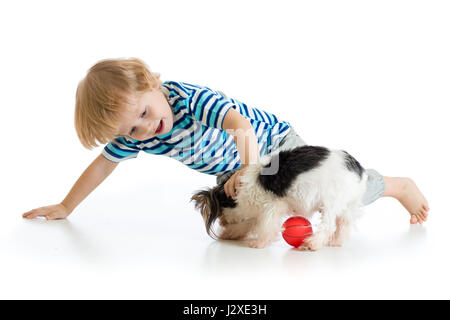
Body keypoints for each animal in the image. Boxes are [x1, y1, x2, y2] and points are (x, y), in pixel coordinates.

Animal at [192, 146, 368, 251]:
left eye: (220, 212)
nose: (222, 222)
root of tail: (358, 169)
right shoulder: (259, 211)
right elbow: (249, 224)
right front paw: (230, 233)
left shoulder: (271, 207)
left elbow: (266, 226)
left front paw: (259, 243)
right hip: (346, 205)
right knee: (344, 224)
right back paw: (336, 241)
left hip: (330, 202)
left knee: (329, 225)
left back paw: (313, 243)